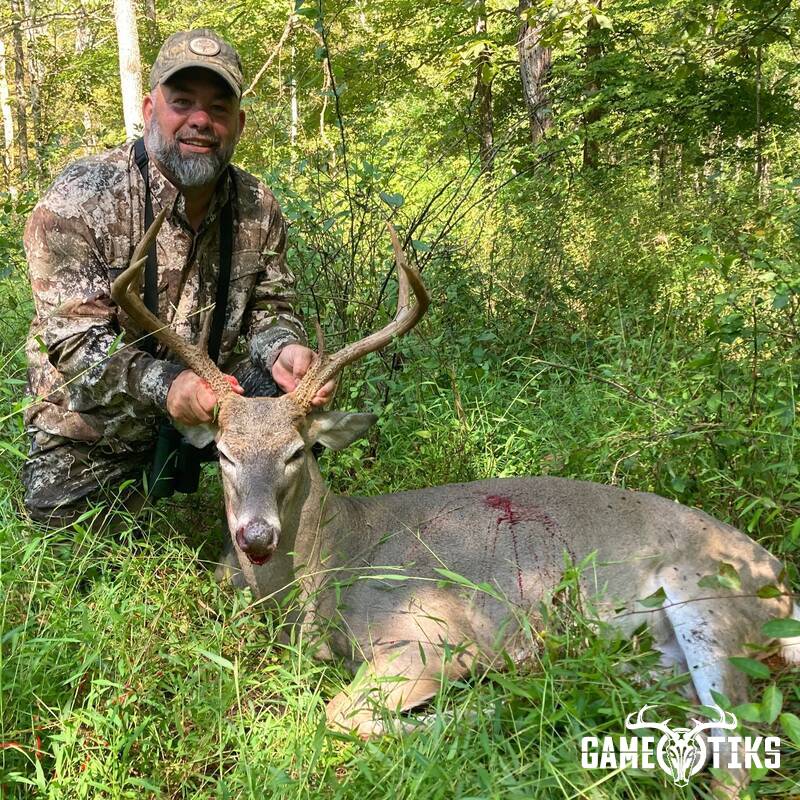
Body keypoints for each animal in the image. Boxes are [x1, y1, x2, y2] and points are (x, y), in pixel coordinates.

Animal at [112, 210, 800, 797]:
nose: (255, 537)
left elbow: (338, 715)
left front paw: (478, 707)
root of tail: (781, 579)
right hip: (664, 656)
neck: (330, 564)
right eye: (224, 454)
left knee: (739, 755)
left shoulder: (437, 635)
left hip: (709, 604)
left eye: (298, 452)